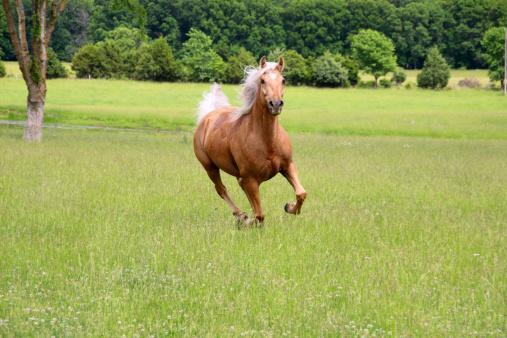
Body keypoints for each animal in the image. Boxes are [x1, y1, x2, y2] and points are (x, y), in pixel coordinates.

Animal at [193, 56, 306, 224]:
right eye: (263, 80)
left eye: (283, 80)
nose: (276, 104)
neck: (268, 141)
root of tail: (207, 118)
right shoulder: (251, 178)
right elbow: (259, 215)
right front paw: (246, 220)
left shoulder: (287, 166)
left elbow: (301, 193)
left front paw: (289, 207)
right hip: (210, 167)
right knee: (221, 190)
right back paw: (240, 214)